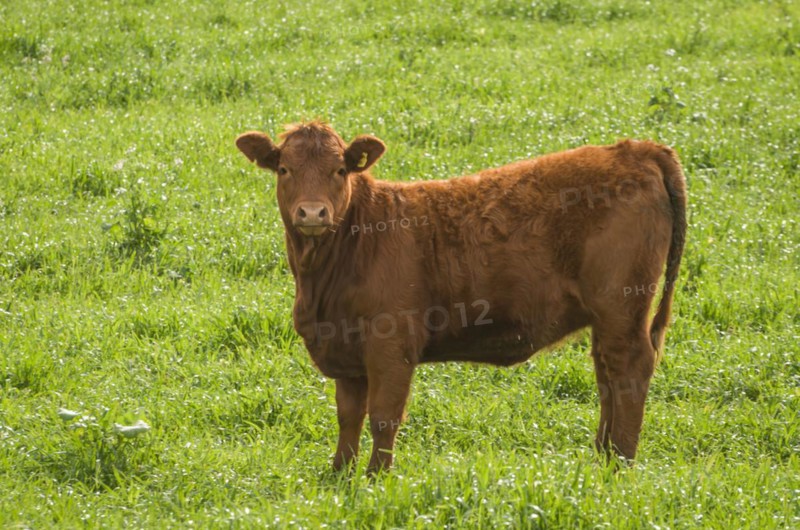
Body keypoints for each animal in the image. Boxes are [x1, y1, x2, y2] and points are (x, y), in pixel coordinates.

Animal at [235, 121, 687, 473]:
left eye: (340, 169)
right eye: (284, 168)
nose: (313, 213)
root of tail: (635, 149)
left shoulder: (391, 343)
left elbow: (383, 417)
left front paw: (375, 478)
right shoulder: (344, 347)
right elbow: (348, 417)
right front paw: (339, 474)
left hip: (622, 306)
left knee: (629, 370)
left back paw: (620, 462)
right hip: (606, 317)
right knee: (607, 376)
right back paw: (603, 456)